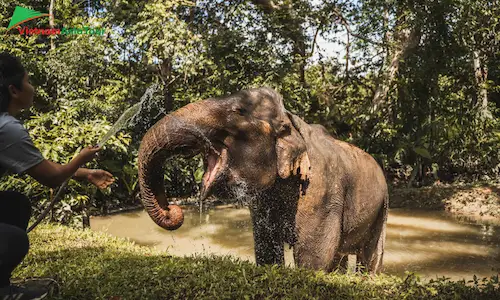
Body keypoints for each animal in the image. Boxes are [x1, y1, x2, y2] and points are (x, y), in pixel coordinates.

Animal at [138, 86, 390, 274]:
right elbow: (266, 249)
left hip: (382, 207)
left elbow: (313, 258)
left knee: (370, 256)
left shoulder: (322, 191)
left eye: (238, 111)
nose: (172, 209)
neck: (292, 120)